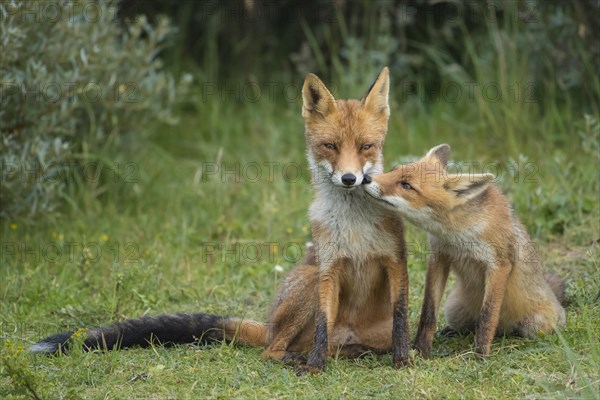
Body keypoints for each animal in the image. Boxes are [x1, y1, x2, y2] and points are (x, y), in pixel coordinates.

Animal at [30, 68, 410, 372]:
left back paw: (353, 353)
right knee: (274, 349)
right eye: (330, 146)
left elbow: (401, 318)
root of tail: (266, 324)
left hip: (361, 327)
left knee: (339, 345)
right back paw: (299, 358)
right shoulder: (329, 269)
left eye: (366, 147)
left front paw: (403, 359)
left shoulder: (395, 261)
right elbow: (320, 330)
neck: (354, 224)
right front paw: (315, 367)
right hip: (308, 281)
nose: (349, 179)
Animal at [364, 145, 564, 356]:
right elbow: (428, 313)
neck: (458, 236)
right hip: (454, 309)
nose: (367, 178)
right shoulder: (439, 258)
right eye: (394, 169)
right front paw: (420, 350)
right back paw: (451, 331)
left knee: (505, 328)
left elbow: (487, 316)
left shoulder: (499, 264)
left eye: (406, 185)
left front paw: (481, 355)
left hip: (535, 325)